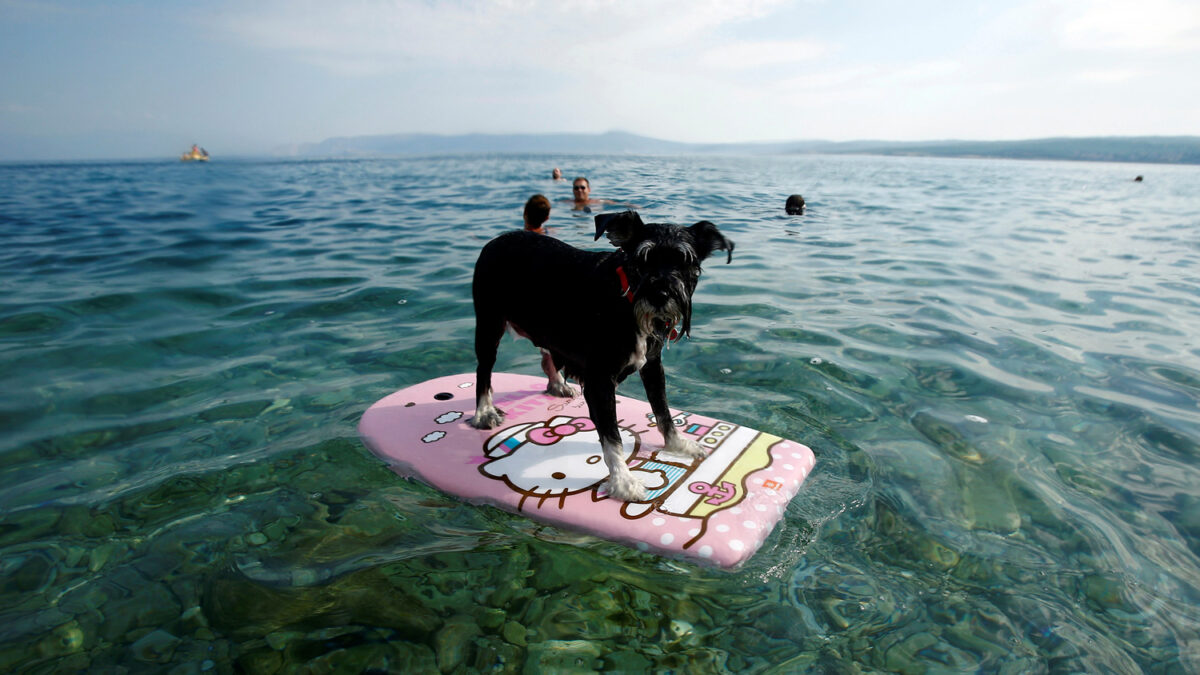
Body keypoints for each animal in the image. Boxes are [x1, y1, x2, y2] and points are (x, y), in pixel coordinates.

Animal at [465, 210, 729, 499]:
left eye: (685, 262)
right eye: (641, 260)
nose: (660, 295)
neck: (624, 299)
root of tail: (496, 241)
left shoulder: (652, 366)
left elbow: (663, 411)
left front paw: (678, 444)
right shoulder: (599, 382)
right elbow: (612, 437)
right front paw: (623, 481)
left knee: (547, 356)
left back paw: (557, 384)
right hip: (490, 326)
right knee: (483, 371)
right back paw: (484, 412)